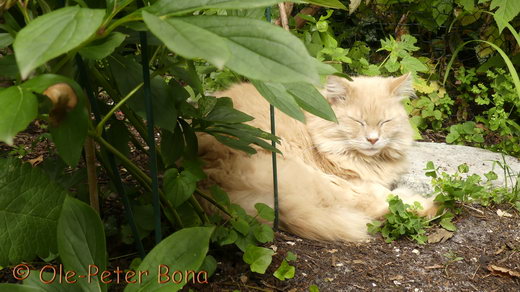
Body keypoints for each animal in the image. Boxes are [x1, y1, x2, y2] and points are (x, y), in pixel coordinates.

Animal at [197, 73, 436, 242]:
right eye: (358, 122)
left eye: (385, 122)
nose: (372, 140)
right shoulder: (350, 182)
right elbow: (380, 196)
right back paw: (431, 204)